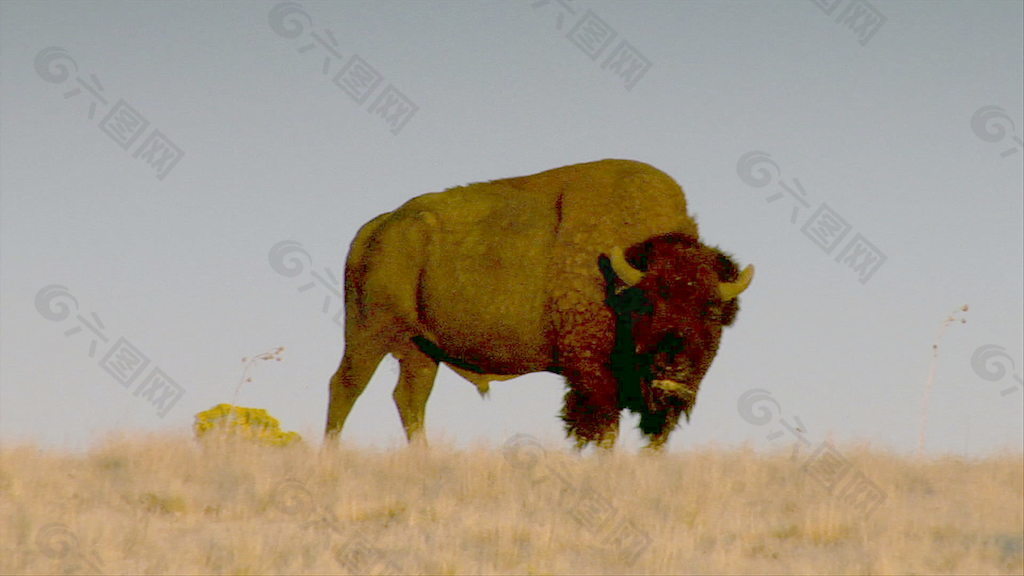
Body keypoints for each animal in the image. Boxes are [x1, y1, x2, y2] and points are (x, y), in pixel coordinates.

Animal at [327, 157, 753, 448]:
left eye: (711, 310)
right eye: (647, 303)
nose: (674, 365)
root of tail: (377, 228)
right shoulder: (591, 374)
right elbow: (603, 427)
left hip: (421, 350)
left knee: (409, 399)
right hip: (367, 335)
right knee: (345, 387)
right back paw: (332, 452)